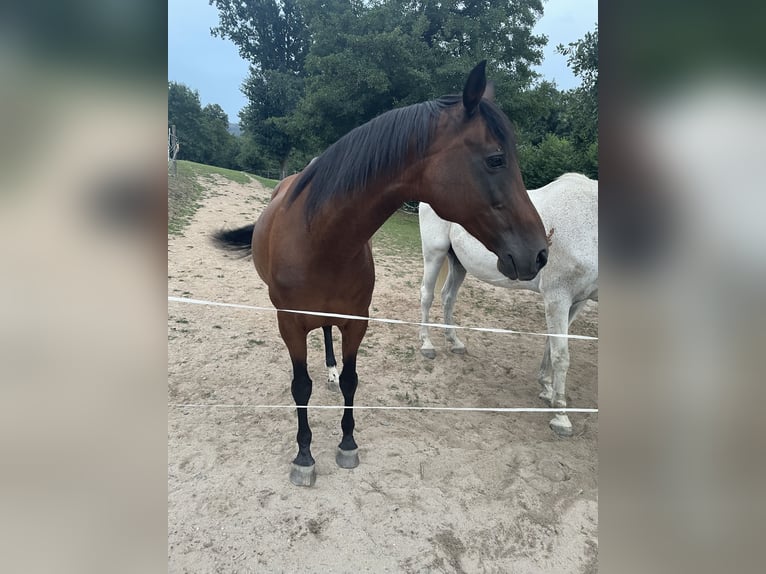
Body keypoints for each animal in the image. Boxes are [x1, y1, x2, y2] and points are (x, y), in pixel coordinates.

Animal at [213, 61, 550, 486]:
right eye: (495, 159)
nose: (538, 253)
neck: (320, 239)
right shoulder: (289, 323)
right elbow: (300, 386)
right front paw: (304, 456)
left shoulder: (357, 321)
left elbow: (351, 380)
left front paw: (347, 444)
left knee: (328, 335)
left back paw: (330, 370)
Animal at [418, 173, 597, 436]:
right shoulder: (558, 297)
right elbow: (561, 355)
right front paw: (561, 417)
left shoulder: (576, 301)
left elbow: (551, 344)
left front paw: (546, 389)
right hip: (435, 253)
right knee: (427, 296)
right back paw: (427, 345)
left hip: (458, 262)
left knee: (448, 297)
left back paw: (455, 342)